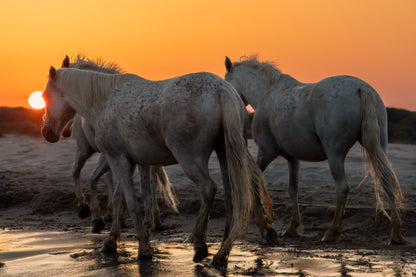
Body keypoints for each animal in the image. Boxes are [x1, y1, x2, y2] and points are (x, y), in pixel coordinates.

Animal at [224, 55, 404, 244]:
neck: (267, 94)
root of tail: (362, 88)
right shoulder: (292, 158)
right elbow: (293, 189)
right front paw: (292, 227)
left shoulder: (266, 152)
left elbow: (254, 180)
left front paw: (265, 228)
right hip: (378, 148)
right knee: (387, 182)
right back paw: (396, 234)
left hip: (335, 155)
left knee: (342, 188)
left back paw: (332, 232)